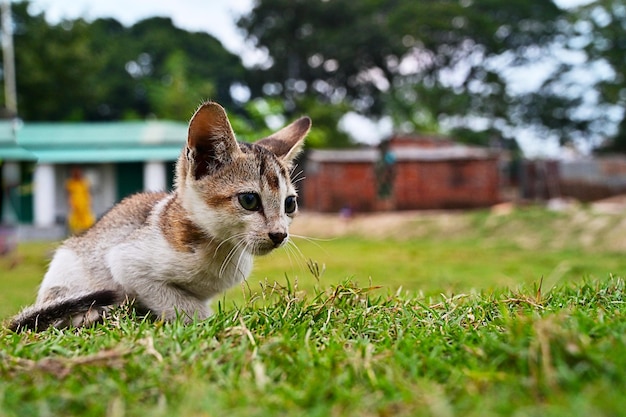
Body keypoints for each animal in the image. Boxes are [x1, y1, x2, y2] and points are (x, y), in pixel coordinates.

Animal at [10, 101, 310, 332]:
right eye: (249, 200)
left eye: (290, 204)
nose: (279, 234)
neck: (219, 249)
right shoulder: (126, 262)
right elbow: (177, 302)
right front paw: (200, 321)